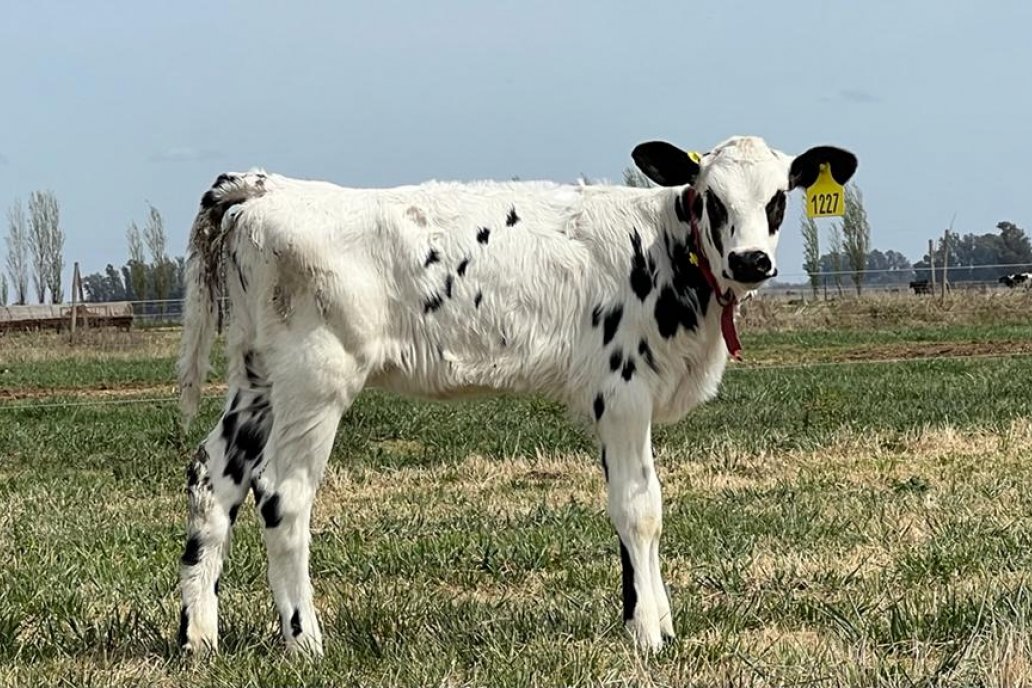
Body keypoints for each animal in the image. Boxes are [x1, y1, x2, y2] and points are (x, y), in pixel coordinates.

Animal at [175, 134, 854, 656]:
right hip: (315, 379)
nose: (751, 260)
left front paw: (655, 620)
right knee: (282, 495)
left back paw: (198, 638)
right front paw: (648, 637)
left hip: (257, 378)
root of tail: (268, 187)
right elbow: (638, 508)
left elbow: (646, 504)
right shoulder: (623, 390)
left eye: (779, 198)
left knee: (214, 479)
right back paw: (306, 642)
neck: (664, 249)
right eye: (710, 197)